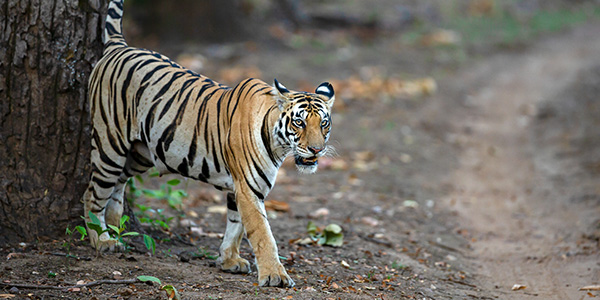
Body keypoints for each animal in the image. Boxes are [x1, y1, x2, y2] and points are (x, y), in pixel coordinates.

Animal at [83, 0, 338, 288]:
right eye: (299, 123)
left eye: (323, 124)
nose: (317, 149)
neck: (278, 143)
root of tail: (120, 46)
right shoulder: (249, 188)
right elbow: (262, 233)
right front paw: (275, 275)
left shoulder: (245, 188)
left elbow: (236, 225)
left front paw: (229, 261)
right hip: (109, 144)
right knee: (93, 193)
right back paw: (102, 240)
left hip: (140, 153)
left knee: (118, 185)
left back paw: (116, 228)